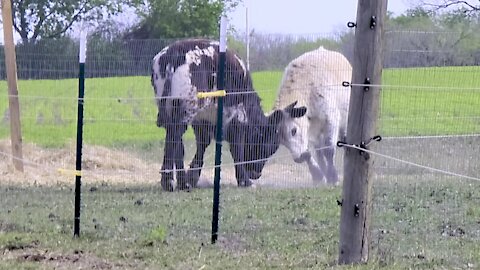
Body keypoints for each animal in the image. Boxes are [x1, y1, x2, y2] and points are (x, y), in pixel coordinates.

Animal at [152, 39, 306, 191]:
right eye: (271, 145)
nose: (256, 174)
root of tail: (174, 52)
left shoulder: (202, 119)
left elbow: (201, 144)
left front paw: (192, 177)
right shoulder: (237, 117)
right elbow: (236, 149)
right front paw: (244, 181)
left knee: (176, 141)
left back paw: (181, 182)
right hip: (186, 108)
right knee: (174, 136)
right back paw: (169, 181)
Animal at [274, 47, 352, 186]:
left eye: (293, 130)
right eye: (280, 140)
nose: (298, 159)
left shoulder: (331, 119)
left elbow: (329, 150)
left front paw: (333, 177)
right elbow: (311, 153)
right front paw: (318, 175)